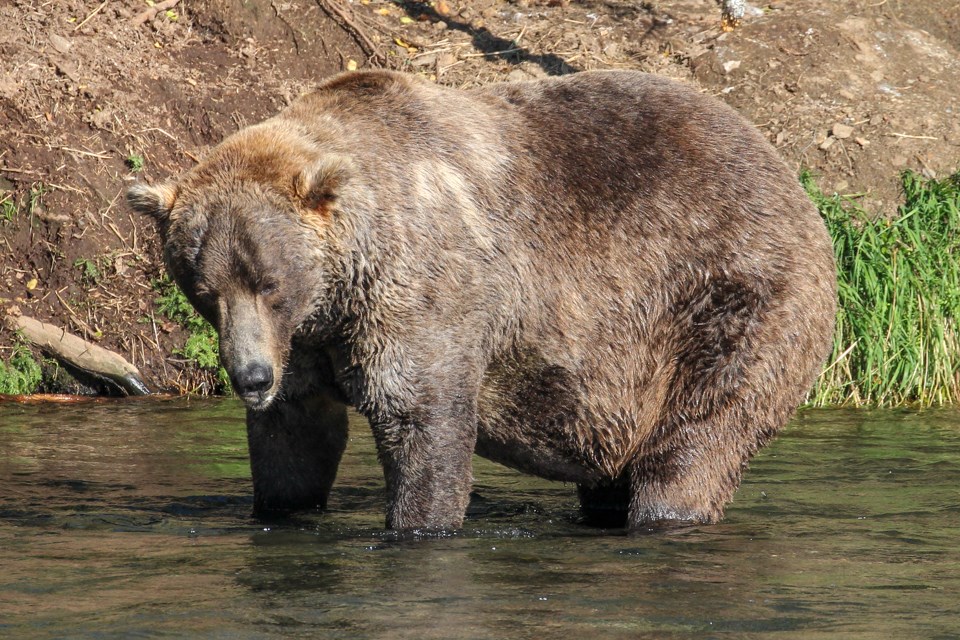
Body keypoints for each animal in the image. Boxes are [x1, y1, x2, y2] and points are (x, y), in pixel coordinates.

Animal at [128, 70, 837, 531]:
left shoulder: (424, 294)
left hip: (728, 297)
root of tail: (789, 175)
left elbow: (423, 420)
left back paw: (666, 512)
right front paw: (283, 507)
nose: (250, 377)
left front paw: (419, 523)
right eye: (204, 290)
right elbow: (295, 440)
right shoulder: (308, 342)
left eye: (269, 282)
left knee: (697, 438)